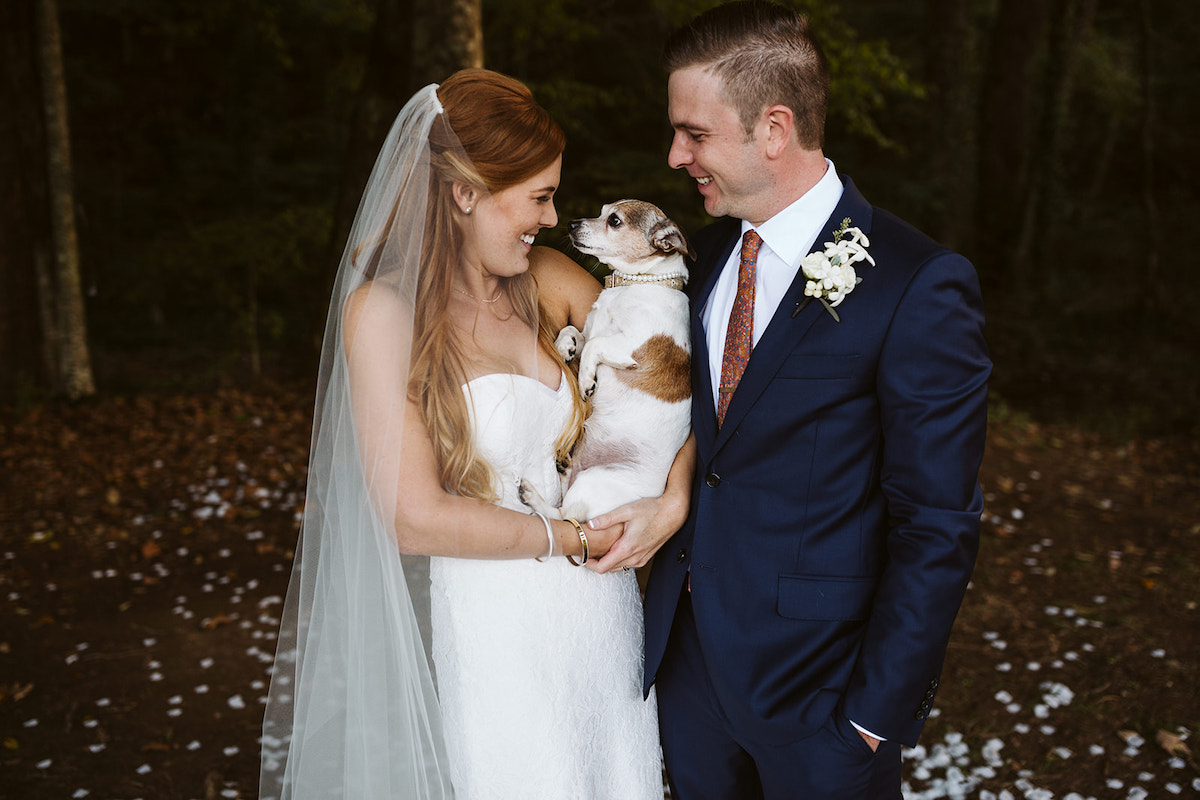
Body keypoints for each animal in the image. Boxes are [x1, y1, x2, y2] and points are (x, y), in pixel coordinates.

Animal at [523, 200, 696, 525]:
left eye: (614, 221)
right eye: (601, 211)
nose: (571, 224)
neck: (632, 285)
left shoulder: (630, 349)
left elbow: (595, 345)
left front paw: (585, 380)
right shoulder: (590, 329)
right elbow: (574, 333)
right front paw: (563, 348)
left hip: (592, 483)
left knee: (564, 515)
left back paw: (533, 497)